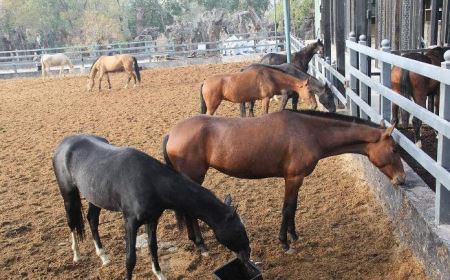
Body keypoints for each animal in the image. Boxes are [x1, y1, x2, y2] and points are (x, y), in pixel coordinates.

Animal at [53, 135, 251, 278]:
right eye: (239, 230)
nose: (248, 255)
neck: (150, 181)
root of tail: (64, 143)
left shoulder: (152, 220)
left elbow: (152, 247)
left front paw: (160, 274)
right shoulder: (130, 223)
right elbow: (130, 259)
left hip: (95, 197)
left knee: (92, 220)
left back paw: (103, 256)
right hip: (68, 195)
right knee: (71, 222)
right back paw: (76, 255)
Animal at [163, 110, 406, 253]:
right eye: (394, 149)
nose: (402, 179)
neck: (309, 131)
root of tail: (172, 133)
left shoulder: (296, 180)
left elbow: (294, 207)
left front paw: (294, 235)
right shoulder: (293, 178)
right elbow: (287, 208)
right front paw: (285, 242)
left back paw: (194, 240)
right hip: (194, 178)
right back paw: (201, 244)